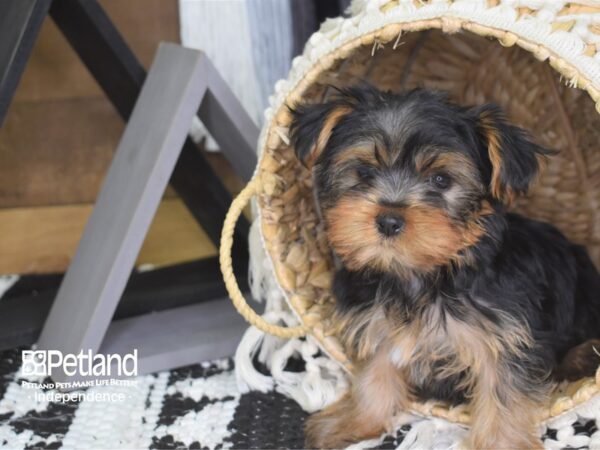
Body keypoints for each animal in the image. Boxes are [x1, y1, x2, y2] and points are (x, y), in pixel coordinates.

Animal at [288, 85, 600, 450]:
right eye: (364, 172)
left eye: (440, 180)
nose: (389, 220)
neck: (421, 274)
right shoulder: (376, 325)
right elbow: (374, 376)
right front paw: (353, 421)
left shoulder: (505, 338)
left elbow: (503, 397)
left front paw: (501, 443)